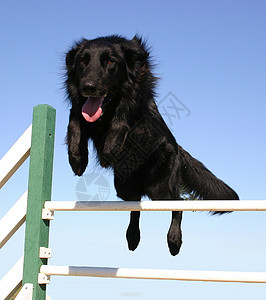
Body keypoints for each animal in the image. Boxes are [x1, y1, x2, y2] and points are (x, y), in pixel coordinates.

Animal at [65, 35, 239, 255]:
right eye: (83, 61)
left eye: (110, 62)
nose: (87, 86)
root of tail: (179, 150)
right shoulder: (78, 107)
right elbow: (74, 121)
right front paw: (77, 159)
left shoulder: (137, 95)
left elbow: (122, 116)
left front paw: (109, 149)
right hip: (124, 188)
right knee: (136, 207)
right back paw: (132, 237)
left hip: (161, 189)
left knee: (179, 204)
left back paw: (174, 240)